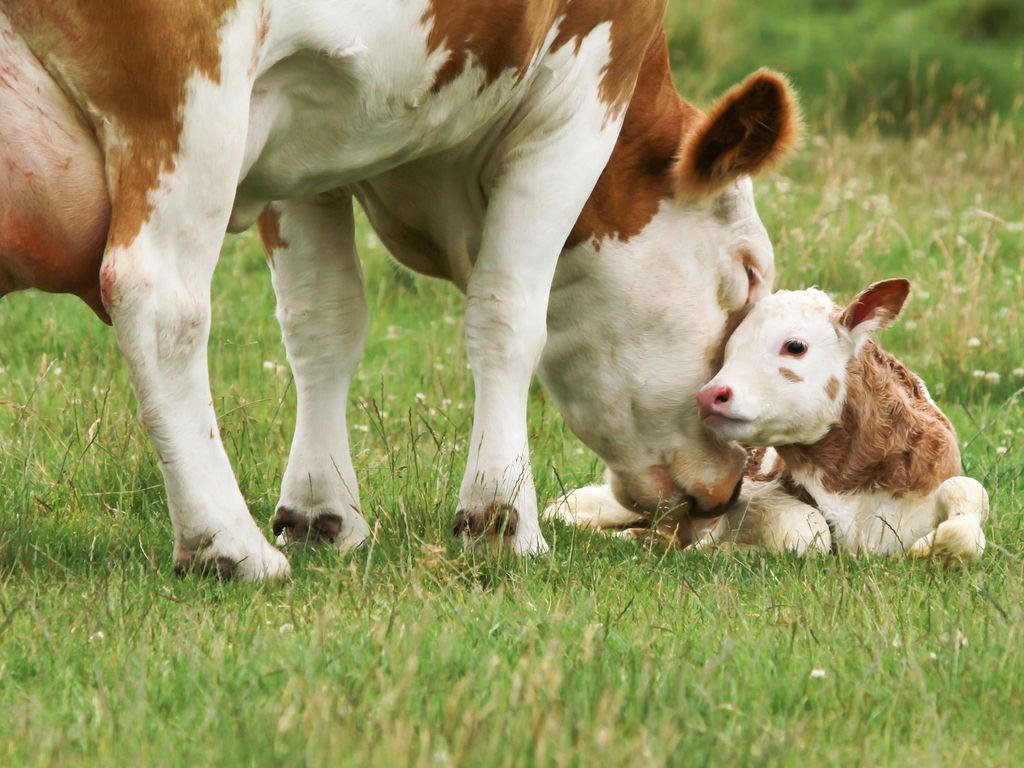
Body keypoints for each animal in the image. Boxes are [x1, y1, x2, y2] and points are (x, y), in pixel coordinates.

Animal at [0, 1, 799, 580]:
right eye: (748, 273)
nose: (734, 483)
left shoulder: (304, 148)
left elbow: (323, 321)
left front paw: (321, 511)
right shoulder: (583, 88)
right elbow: (510, 314)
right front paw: (502, 517)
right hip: (193, 93)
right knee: (161, 300)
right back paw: (228, 545)